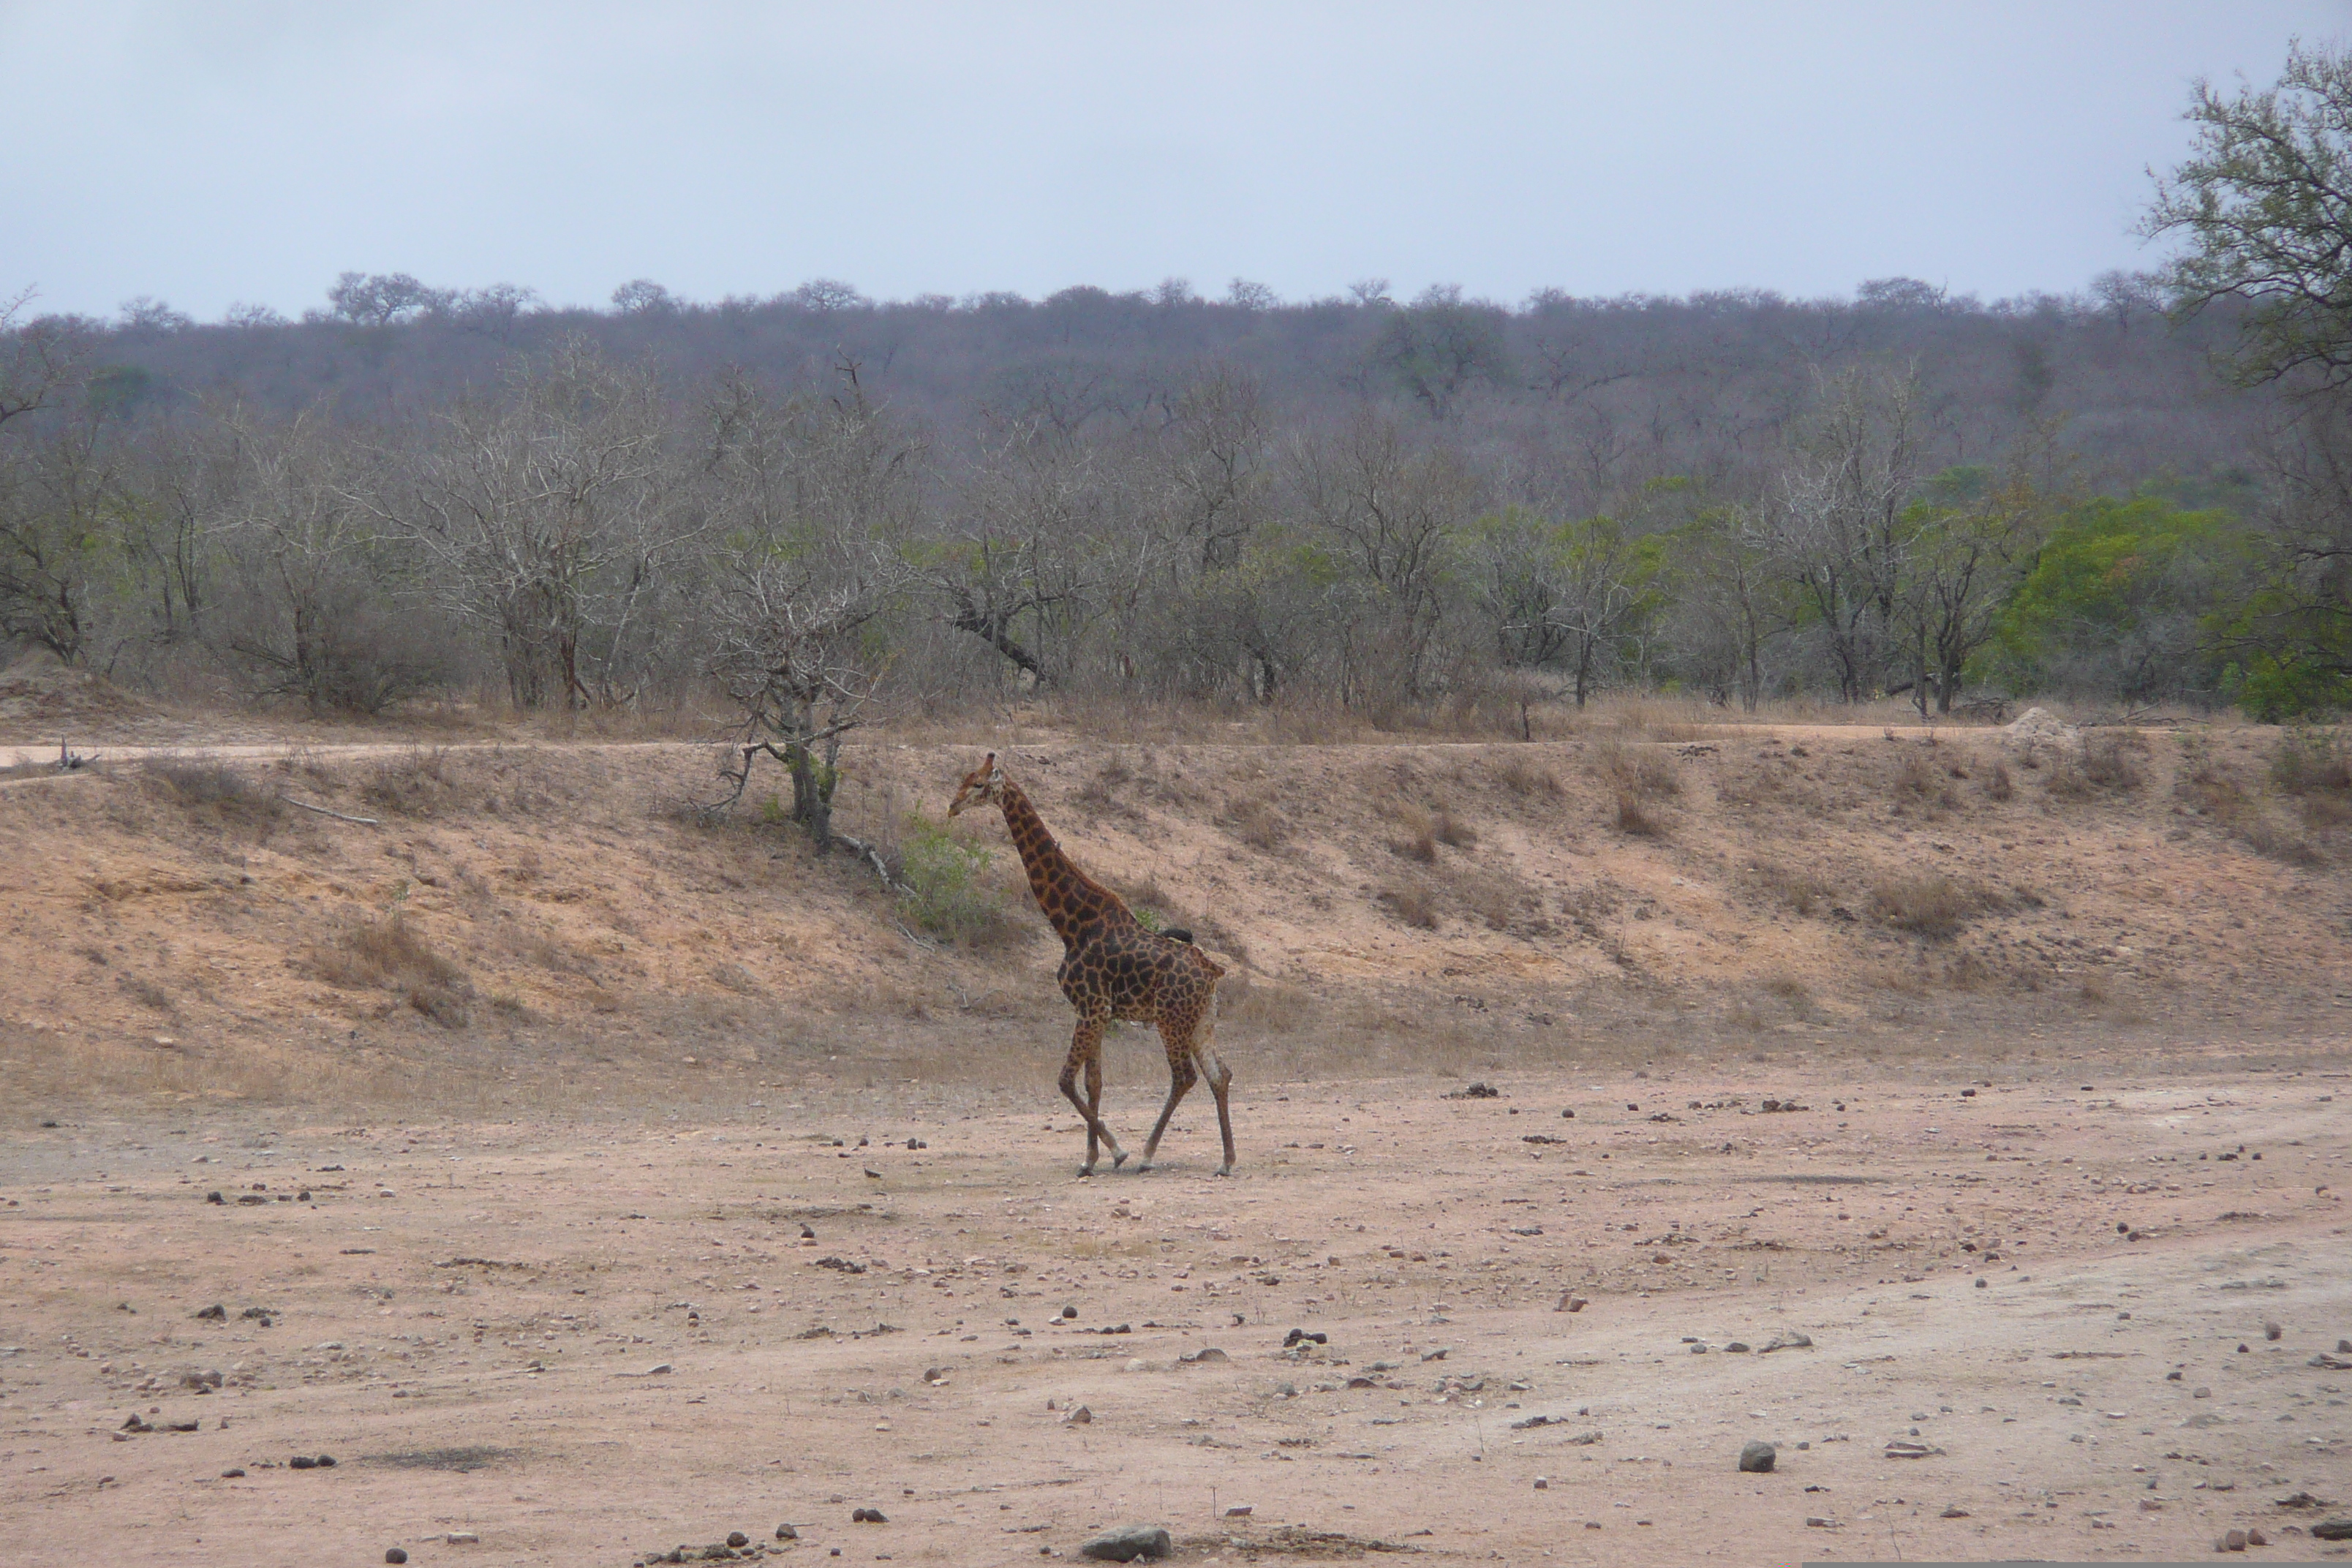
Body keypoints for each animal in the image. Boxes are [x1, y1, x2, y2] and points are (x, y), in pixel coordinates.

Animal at [941, 752, 1232, 1175]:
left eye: (979, 784)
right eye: (964, 779)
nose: (952, 806)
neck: (1071, 924)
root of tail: (1213, 972)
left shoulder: (1093, 1007)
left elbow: (1065, 1080)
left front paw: (1117, 1152)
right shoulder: (1096, 1011)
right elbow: (1094, 1082)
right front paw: (1091, 1159)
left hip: (1170, 1018)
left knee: (1184, 1076)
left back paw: (1147, 1154)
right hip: (1201, 1020)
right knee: (1219, 1074)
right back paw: (1227, 1160)